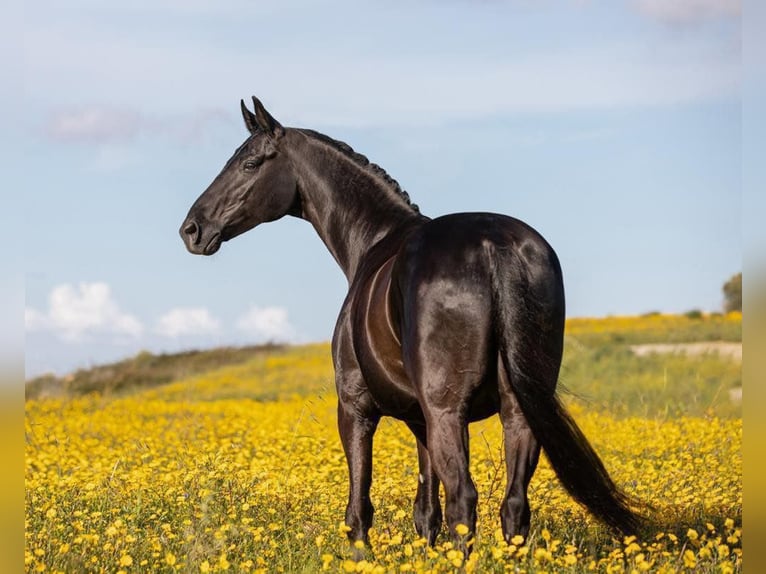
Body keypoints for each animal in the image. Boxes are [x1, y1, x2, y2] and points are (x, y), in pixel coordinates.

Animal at [180, 97, 642, 551]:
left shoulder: (356, 408)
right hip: (515, 411)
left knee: (464, 500)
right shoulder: (420, 421)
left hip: (445, 412)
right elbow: (426, 513)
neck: (374, 241)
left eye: (250, 163)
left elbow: (360, 510)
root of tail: (495, 246)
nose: (192, 229)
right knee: (512, 504)